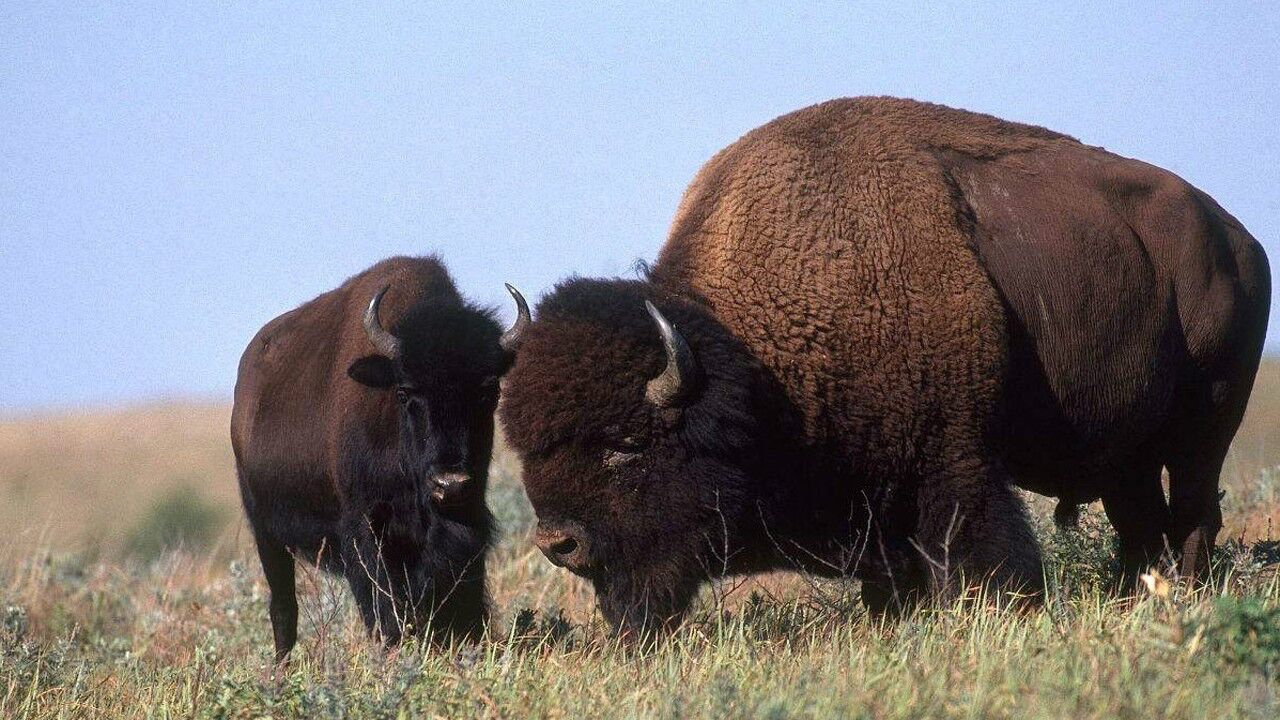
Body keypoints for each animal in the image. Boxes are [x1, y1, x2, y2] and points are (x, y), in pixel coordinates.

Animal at [232, 254, 527, 661]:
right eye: (404, 393)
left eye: (489, 391)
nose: (449, 483)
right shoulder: (365, 527)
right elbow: (383, 604)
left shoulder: (469, 518)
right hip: (265, 532)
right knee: (283, 606)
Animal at [499, 95, 1269, 632]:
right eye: (525, 444)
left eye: (628, 445)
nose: (558, 542)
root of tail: (1240, 239)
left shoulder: (953, 457)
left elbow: (984, 552)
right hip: (1124, 459)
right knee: (1142, 524)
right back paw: (1137, 598)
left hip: (1205, 430)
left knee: (1194, 516)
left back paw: (1184, 596)